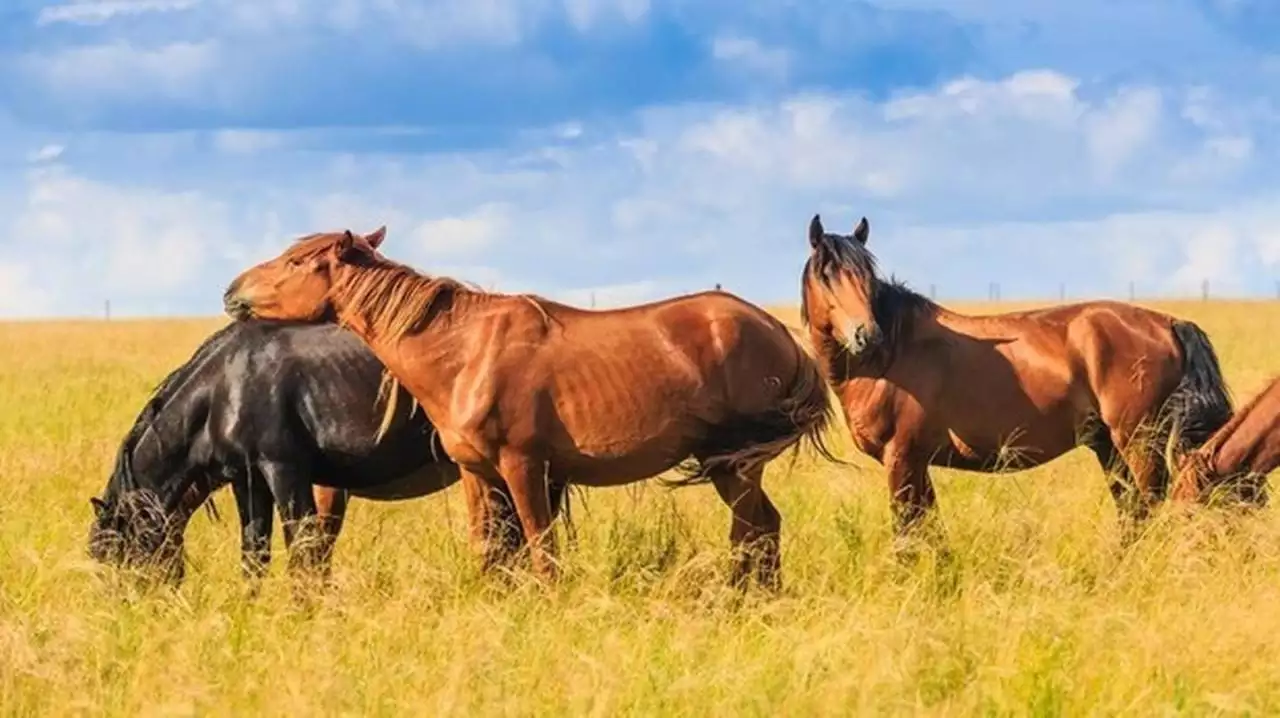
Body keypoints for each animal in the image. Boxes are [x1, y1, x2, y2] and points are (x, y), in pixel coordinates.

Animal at [88, 318, 550, 583]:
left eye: (119, 555)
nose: (125, 626)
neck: (225, 386)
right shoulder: (248, 482)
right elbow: (254, 556)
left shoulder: (284, 471)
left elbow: (303, 551)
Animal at [222, 226, 839, 586]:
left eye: (297, 262)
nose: (232, 291)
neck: (463, 351)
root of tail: (777, 331)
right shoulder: (478, 473)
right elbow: (491, 550)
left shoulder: (525, 467)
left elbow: (542, 549)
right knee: (759, 531)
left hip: (735, 467)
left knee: (756, 530)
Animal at [798, 212, 1228, 537]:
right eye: (826, 275)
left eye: (865, 276)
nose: (866, 335)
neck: (892, 356)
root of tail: (1168, 322)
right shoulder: (917, 463)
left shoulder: (901, 459)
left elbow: (909, 535)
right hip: (1108, 446)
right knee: (1133, 511)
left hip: (1139, 442)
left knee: (1149, 505)